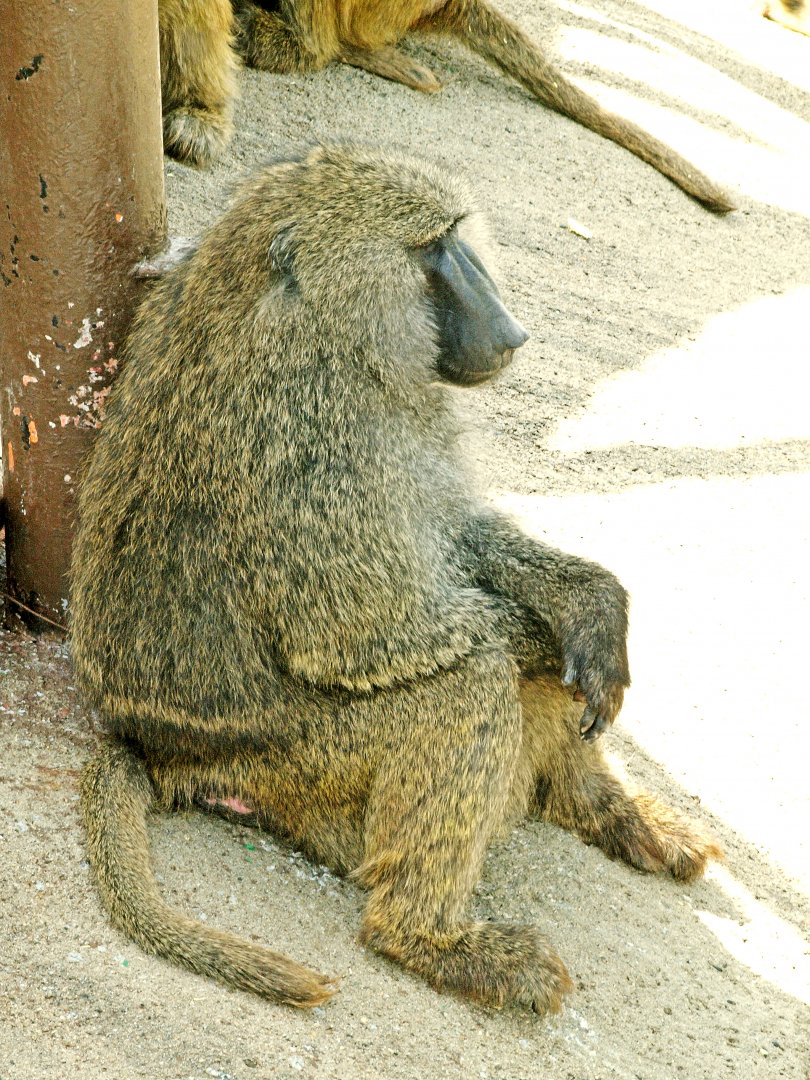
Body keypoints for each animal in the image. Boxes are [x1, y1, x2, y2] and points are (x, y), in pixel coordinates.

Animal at [72, 143, 721, 1012]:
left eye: (456, 237)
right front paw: (549, 641)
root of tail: (165, 752)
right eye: (431, 250)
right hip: (301, 766)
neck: (313, 315)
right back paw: (431, 940)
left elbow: (459, 540)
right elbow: (372, 634)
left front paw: (590, 604)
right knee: (469, 679)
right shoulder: (316, 430)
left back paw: (616, 815)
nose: (511, 330)